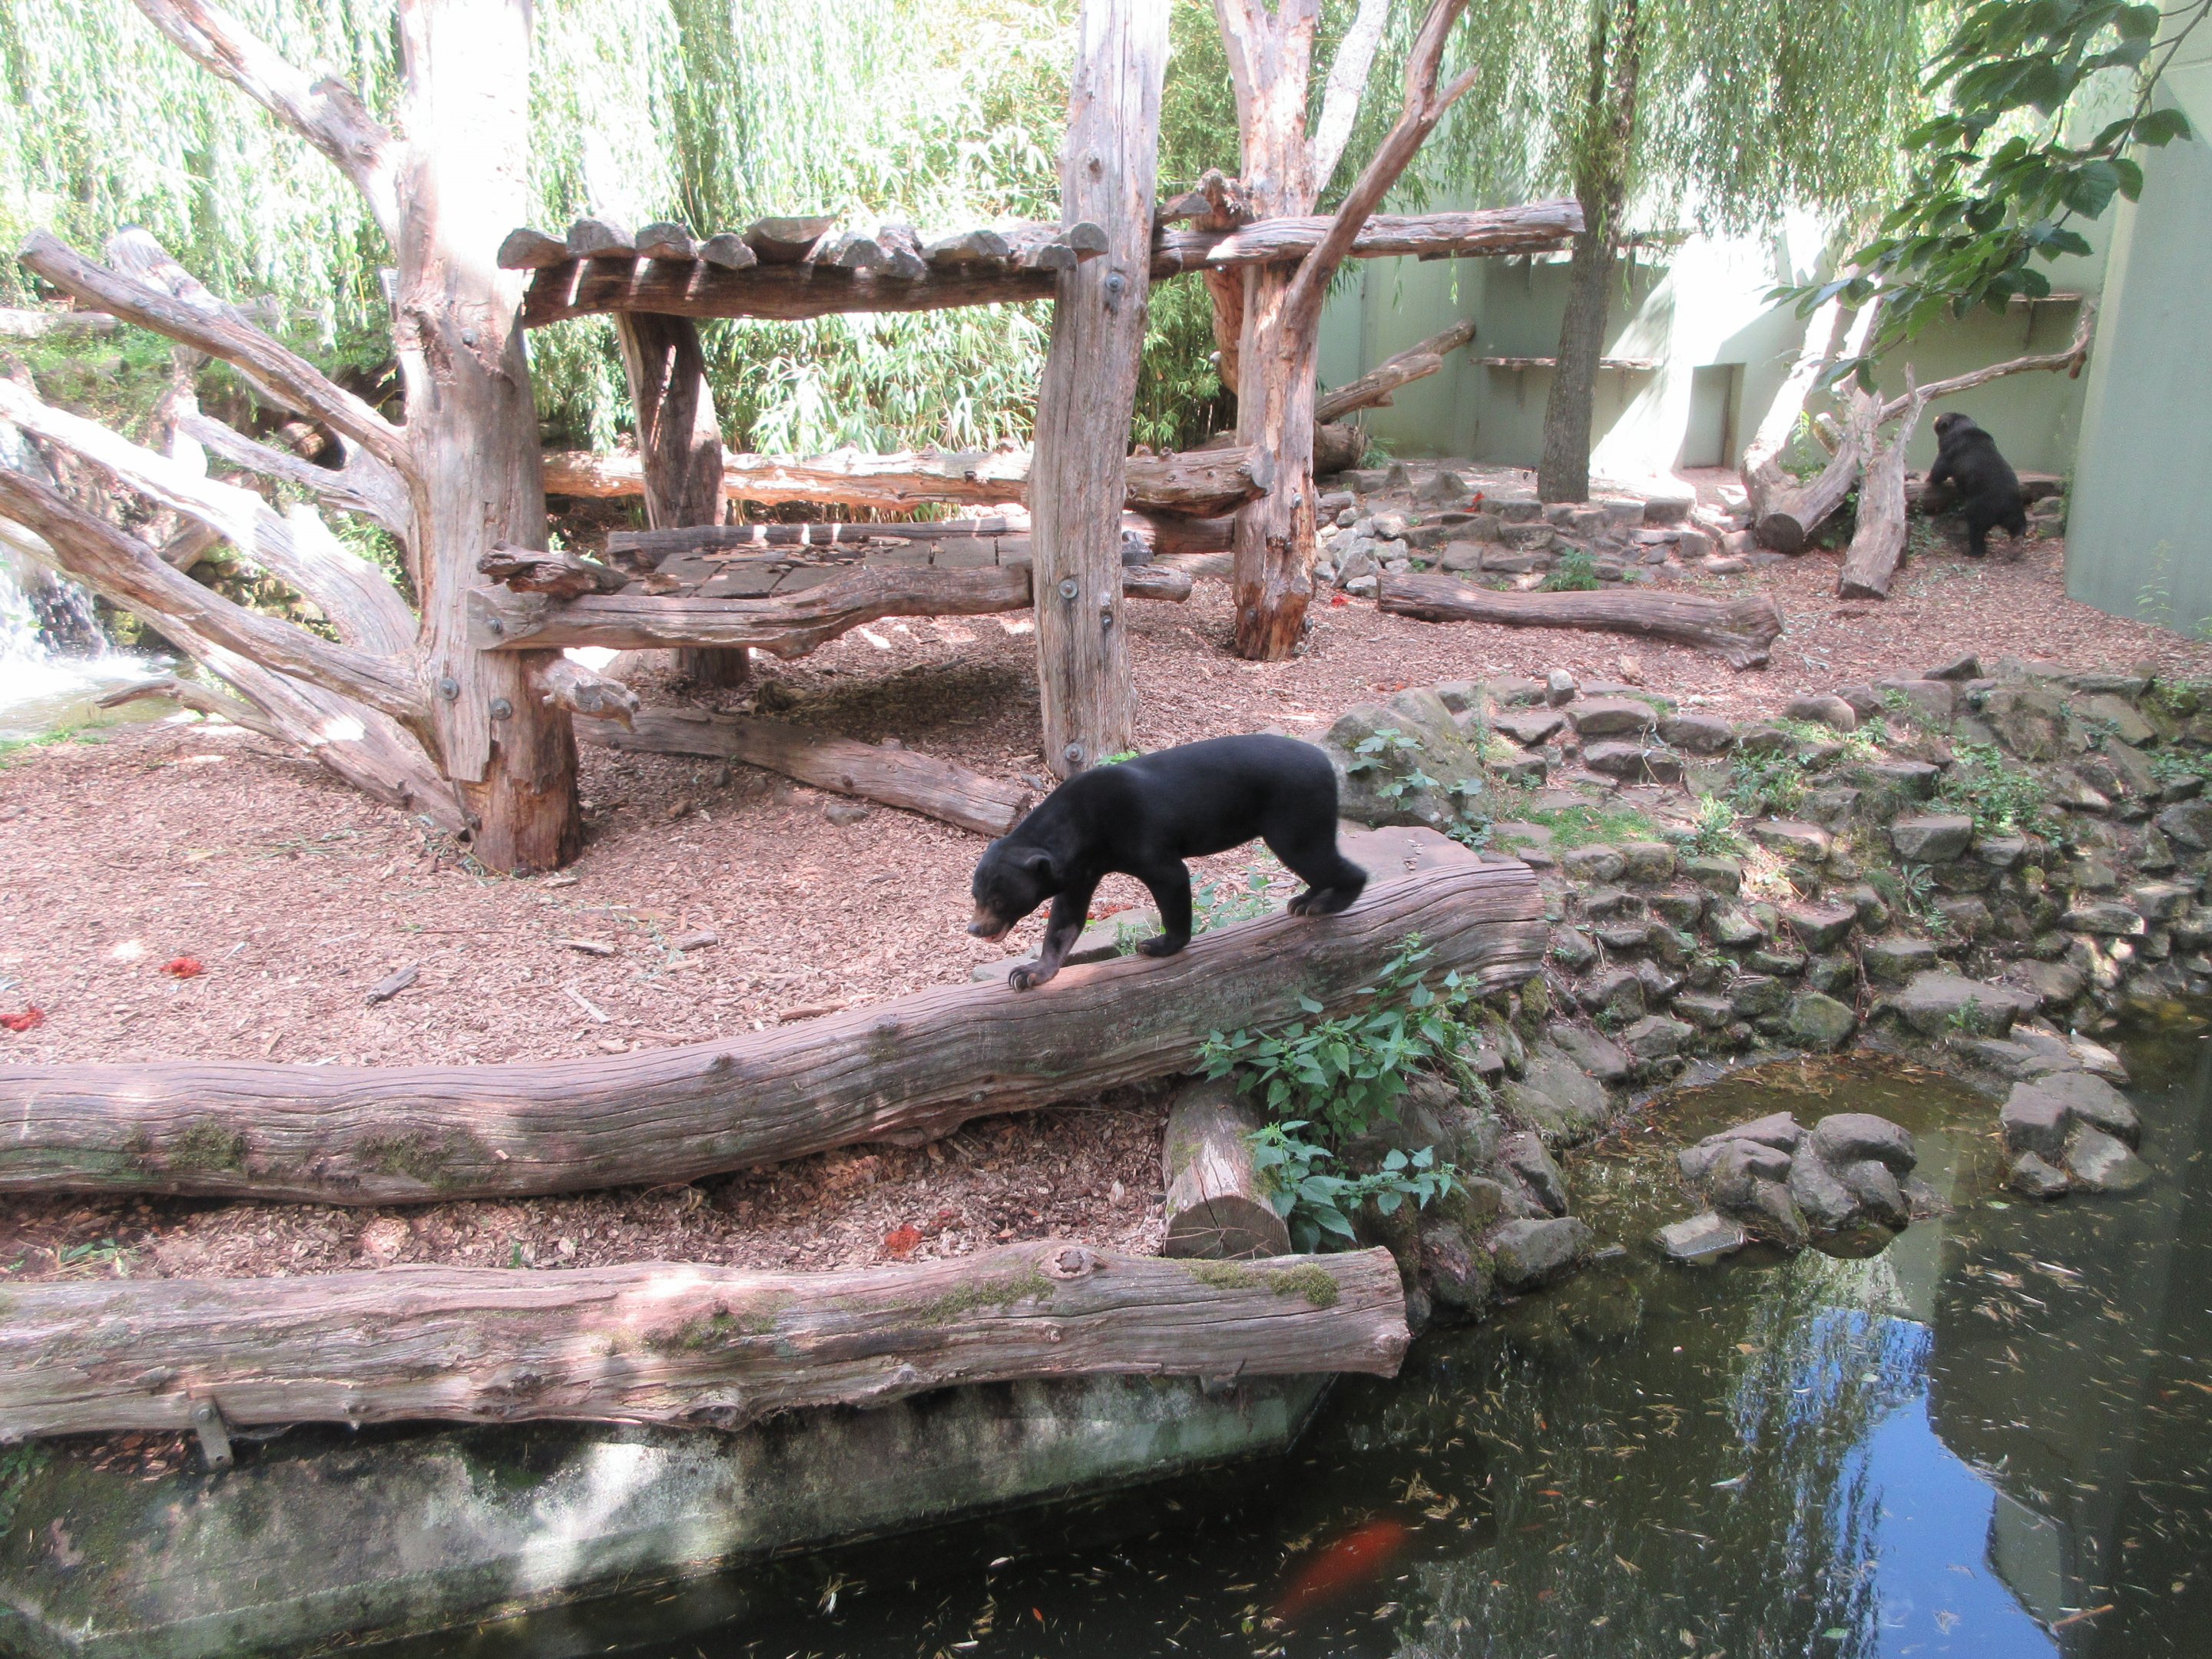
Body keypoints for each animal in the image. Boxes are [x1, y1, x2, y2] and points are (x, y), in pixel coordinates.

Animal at [968, 734, 1368, 991]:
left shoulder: (1141, 837)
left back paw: (1330, 901)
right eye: (976, 896)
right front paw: (1028, 974)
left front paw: (1157, 946)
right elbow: (1065, 921)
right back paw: (1304, 901)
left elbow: (1172, 881)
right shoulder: (1079, 871)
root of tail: (1326, 763)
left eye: (999, 901)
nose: (975, 929)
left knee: (1318, 856)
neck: (1080, 830)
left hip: (1294, 811)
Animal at [1926, 411, 2026, 559]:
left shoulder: (1950, 451)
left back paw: (1972, 551)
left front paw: (1929, 479)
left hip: (1980, 506)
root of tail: (2002, 508)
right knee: (2018, 525)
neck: (1962, 428)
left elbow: (1940, 470)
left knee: (1976, 528)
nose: (1935, 418)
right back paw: (2017, 546)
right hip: (2015, 508)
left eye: (1940, 418)